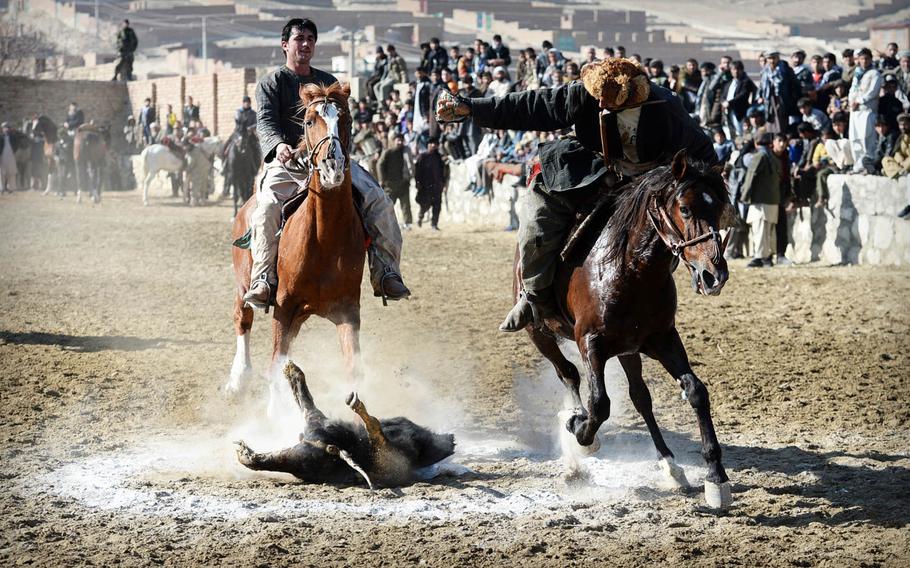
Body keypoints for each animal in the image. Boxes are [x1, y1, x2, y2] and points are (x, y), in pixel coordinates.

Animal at [225, 82, 366, 414]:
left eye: (346, 120)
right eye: (310, 121)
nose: (332, 166)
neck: (324, 238)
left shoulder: (347, 311)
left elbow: (353, 367)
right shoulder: (284, 305)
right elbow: (277, 363)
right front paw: (275, 415)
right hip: (243, 284)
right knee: (242, 318)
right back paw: (238, 380)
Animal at [520, 151, 732, 510]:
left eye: (717, 207)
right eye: (685, 208)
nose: (714, 275)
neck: (630, 270)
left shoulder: (662, 339)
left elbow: (695, 391)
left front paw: (716, 476)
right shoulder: (589, 342)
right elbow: (599, 403)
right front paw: (579, 431)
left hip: (627, 350)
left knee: (640, 397)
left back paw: (671, 466)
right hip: (540, 333)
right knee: (568, 374)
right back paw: (574, 419)